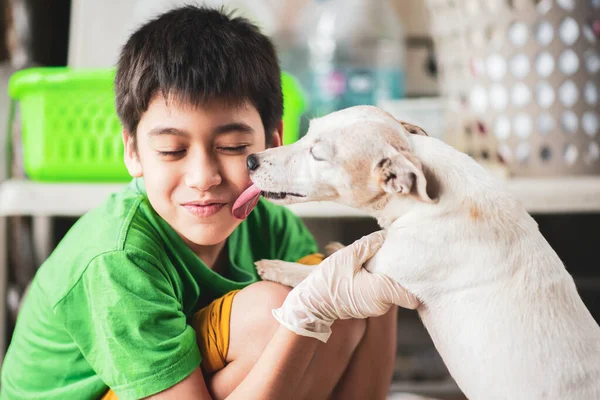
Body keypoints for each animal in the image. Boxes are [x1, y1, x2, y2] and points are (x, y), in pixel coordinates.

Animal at [248, 105, 600, 400]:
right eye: (307, 133)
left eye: (317, 155)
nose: (251, 160)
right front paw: (334, 247)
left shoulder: (382, 269)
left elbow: (321, 272)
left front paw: (278, 267)